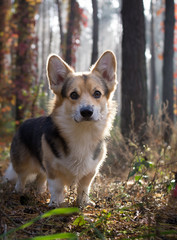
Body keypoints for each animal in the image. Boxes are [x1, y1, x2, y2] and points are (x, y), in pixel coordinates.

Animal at [3, 50, 117, 206]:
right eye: (73, 95)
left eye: (97, 93)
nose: (87, 111)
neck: (82, 132)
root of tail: (24, 123)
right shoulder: (53, 168)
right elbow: (56, 187)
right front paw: (56, 204)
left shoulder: (90, 171)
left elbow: (84, 187)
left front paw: (84, 203)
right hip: (22, 162)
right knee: (22, 178)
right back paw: (18, 192)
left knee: (40, 179)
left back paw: (40, 193)